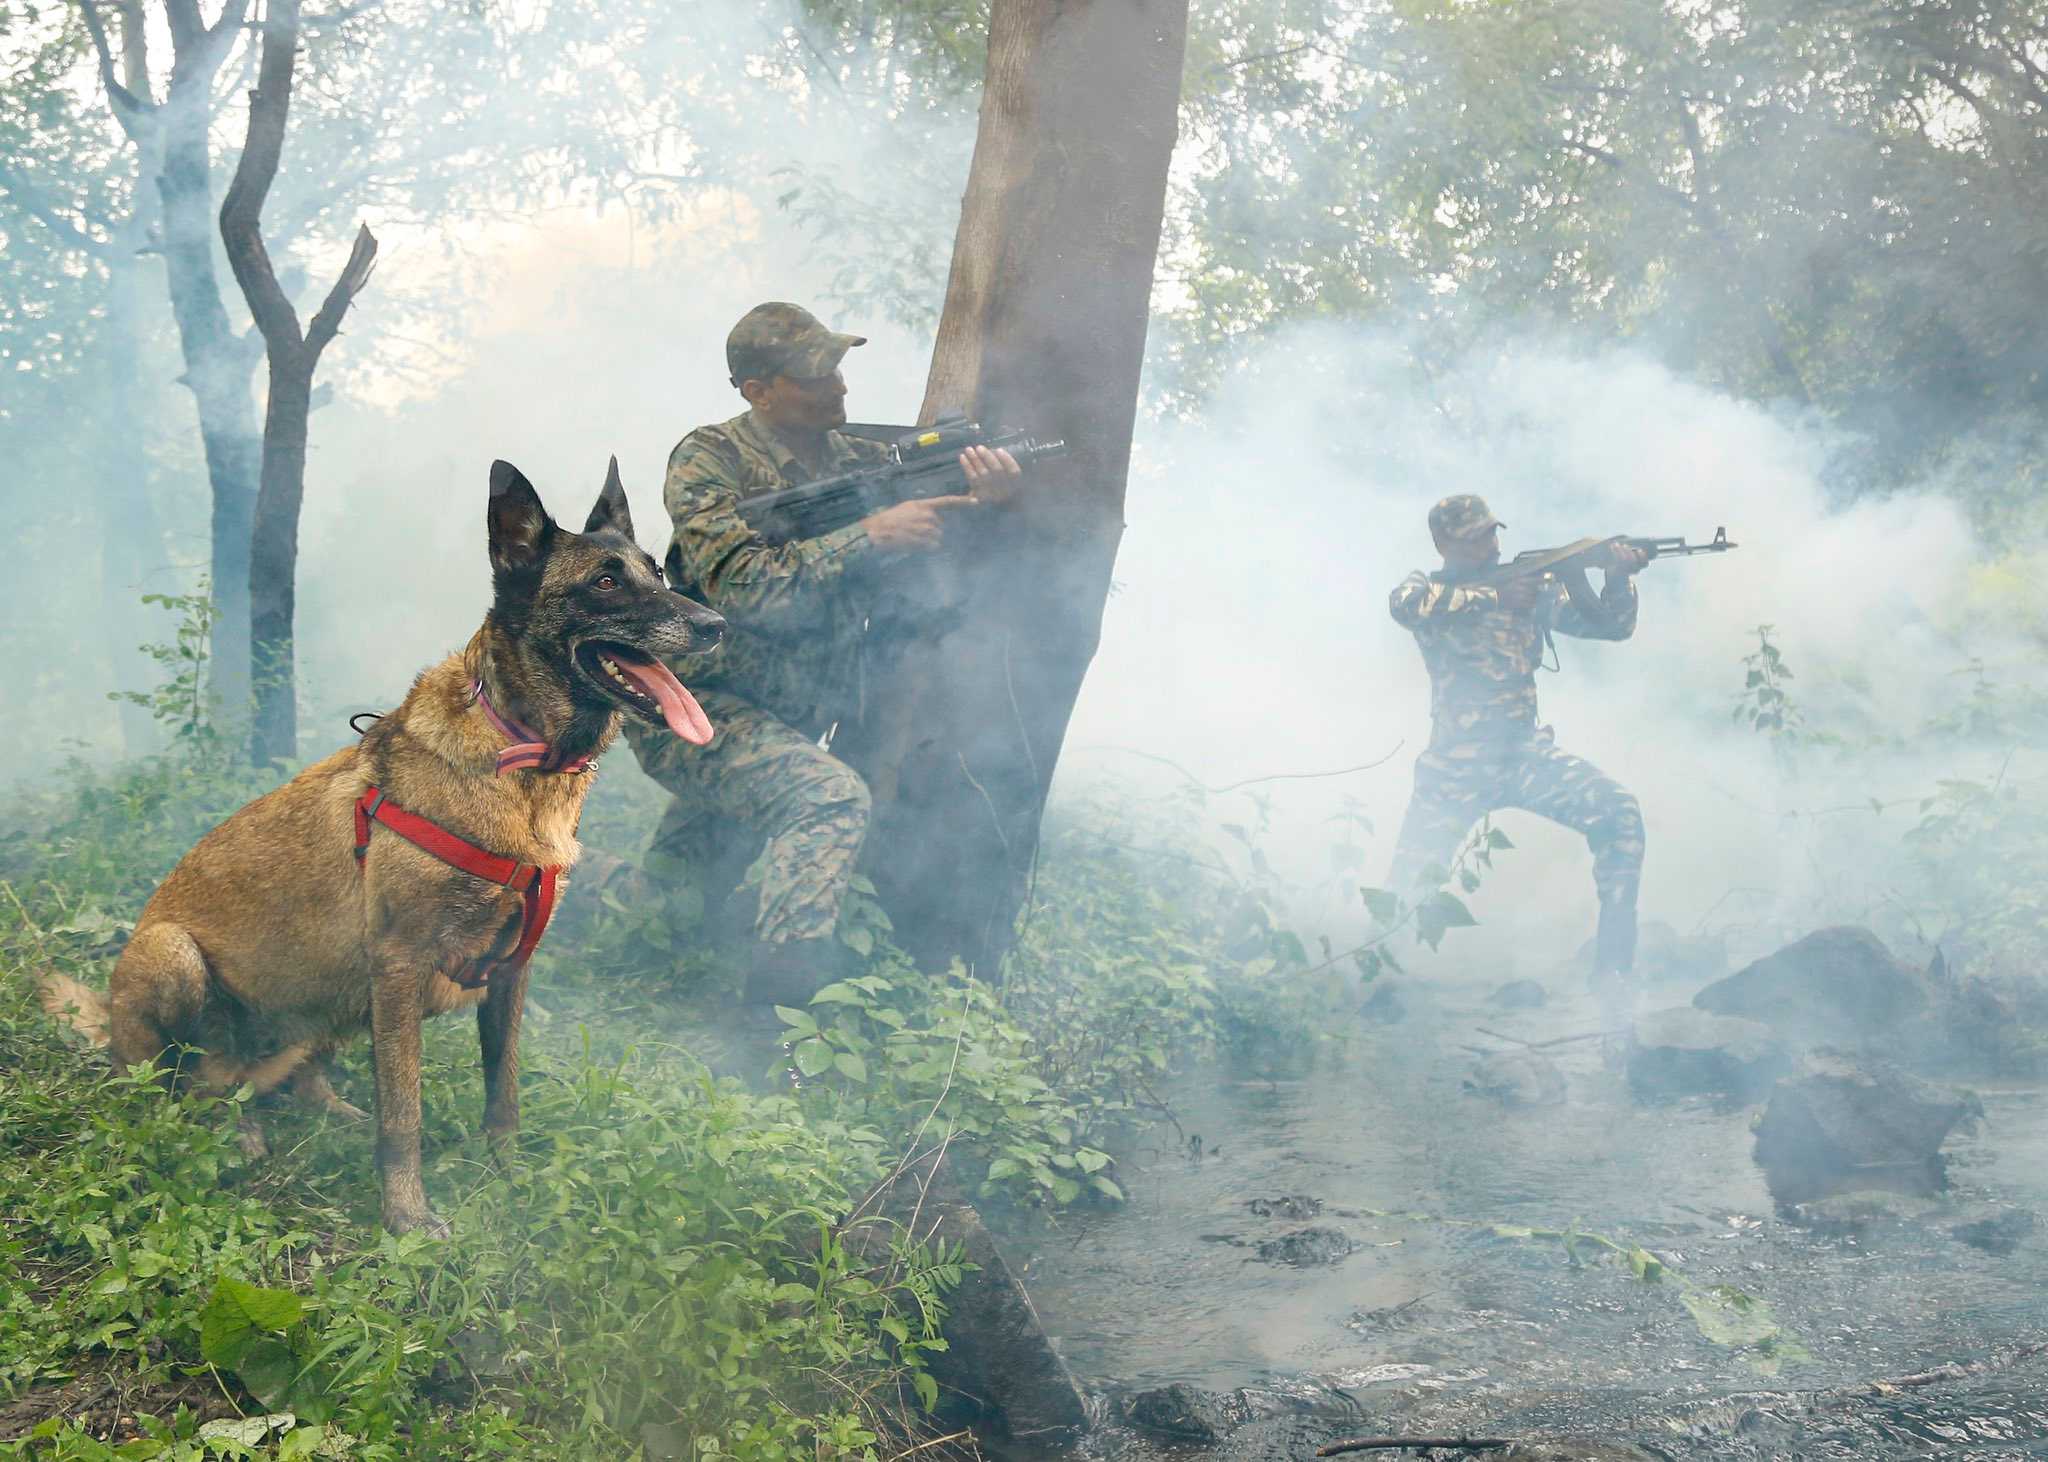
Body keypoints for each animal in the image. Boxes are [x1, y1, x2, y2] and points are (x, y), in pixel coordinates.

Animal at [44, 454, 724, 1228]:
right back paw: (237, 1130)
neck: (520, 755)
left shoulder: (510, 972)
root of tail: (110, 1024)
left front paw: (510, 1177)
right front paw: (406, 1217)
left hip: (325, 1006)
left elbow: (504, 1091)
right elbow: (404, 1113)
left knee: (278, 1078)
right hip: (174, 956)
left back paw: (325, 1113)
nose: (717, 626)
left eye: (657, 573)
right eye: (606, 583)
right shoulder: (399, 967)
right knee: (189, 1086)